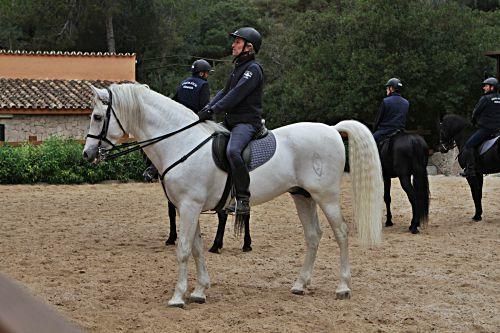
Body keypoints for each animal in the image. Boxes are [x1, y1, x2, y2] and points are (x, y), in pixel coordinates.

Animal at [84, 82, 384, 306]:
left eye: (97, 117)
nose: (87, 155)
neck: (181, 143)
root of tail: (332, 129)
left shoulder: (189, 206)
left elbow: (183, 249)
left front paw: (178, 296)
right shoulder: (187, 208)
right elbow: (196, 248)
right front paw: (199, 291)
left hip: (326, 196)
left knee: (341, 233)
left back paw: (343, 287)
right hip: (303, 196)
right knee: (313, 236)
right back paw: (300, 284)